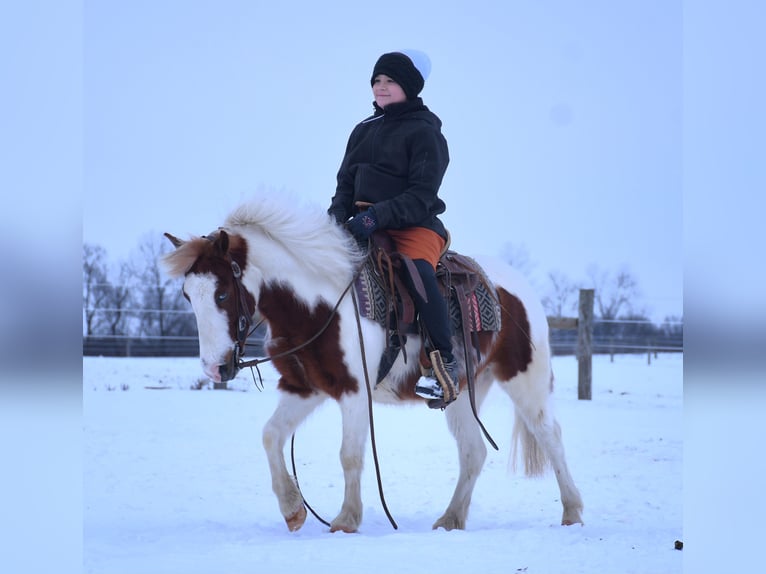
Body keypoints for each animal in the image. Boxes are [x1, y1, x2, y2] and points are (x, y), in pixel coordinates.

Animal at [162, 198, 584, 536]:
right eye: (187, 295)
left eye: (221, 294)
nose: (215, 369)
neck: (317, 305)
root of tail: (517, 288)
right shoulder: (304, 388)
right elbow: (271, 436)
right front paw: (293, 510)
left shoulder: (354, 391)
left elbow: (349, 455)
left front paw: (346, 519)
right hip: (464, 392)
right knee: (473, 452)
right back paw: (450, 519)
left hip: (525, 379)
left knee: (551, 436)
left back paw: (572, 512)